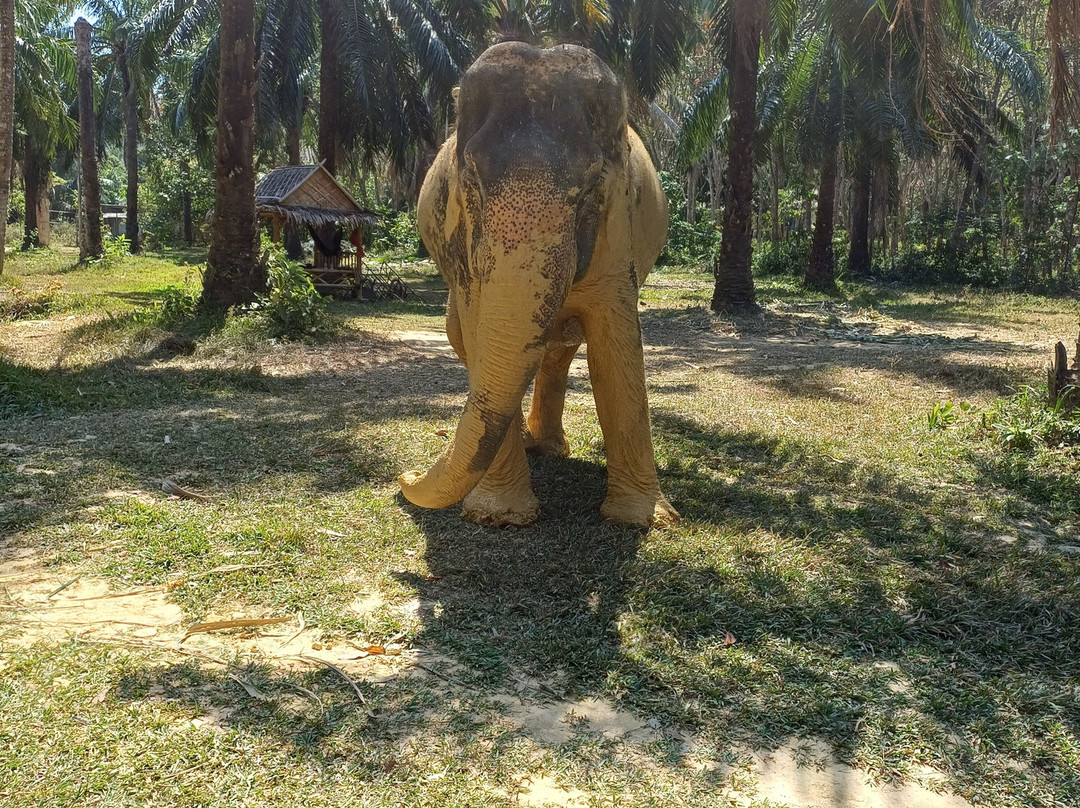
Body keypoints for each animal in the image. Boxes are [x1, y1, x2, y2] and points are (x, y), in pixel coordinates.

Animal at [398, 41, 678, 529]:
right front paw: (501, 517)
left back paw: (549, 448)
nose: (406, 473)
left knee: (561, 350)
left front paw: (640, 520)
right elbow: (477, 335)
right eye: (470, 184)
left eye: (589, 190)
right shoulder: (465, 251)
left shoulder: (616, 236)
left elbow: (616, 351)